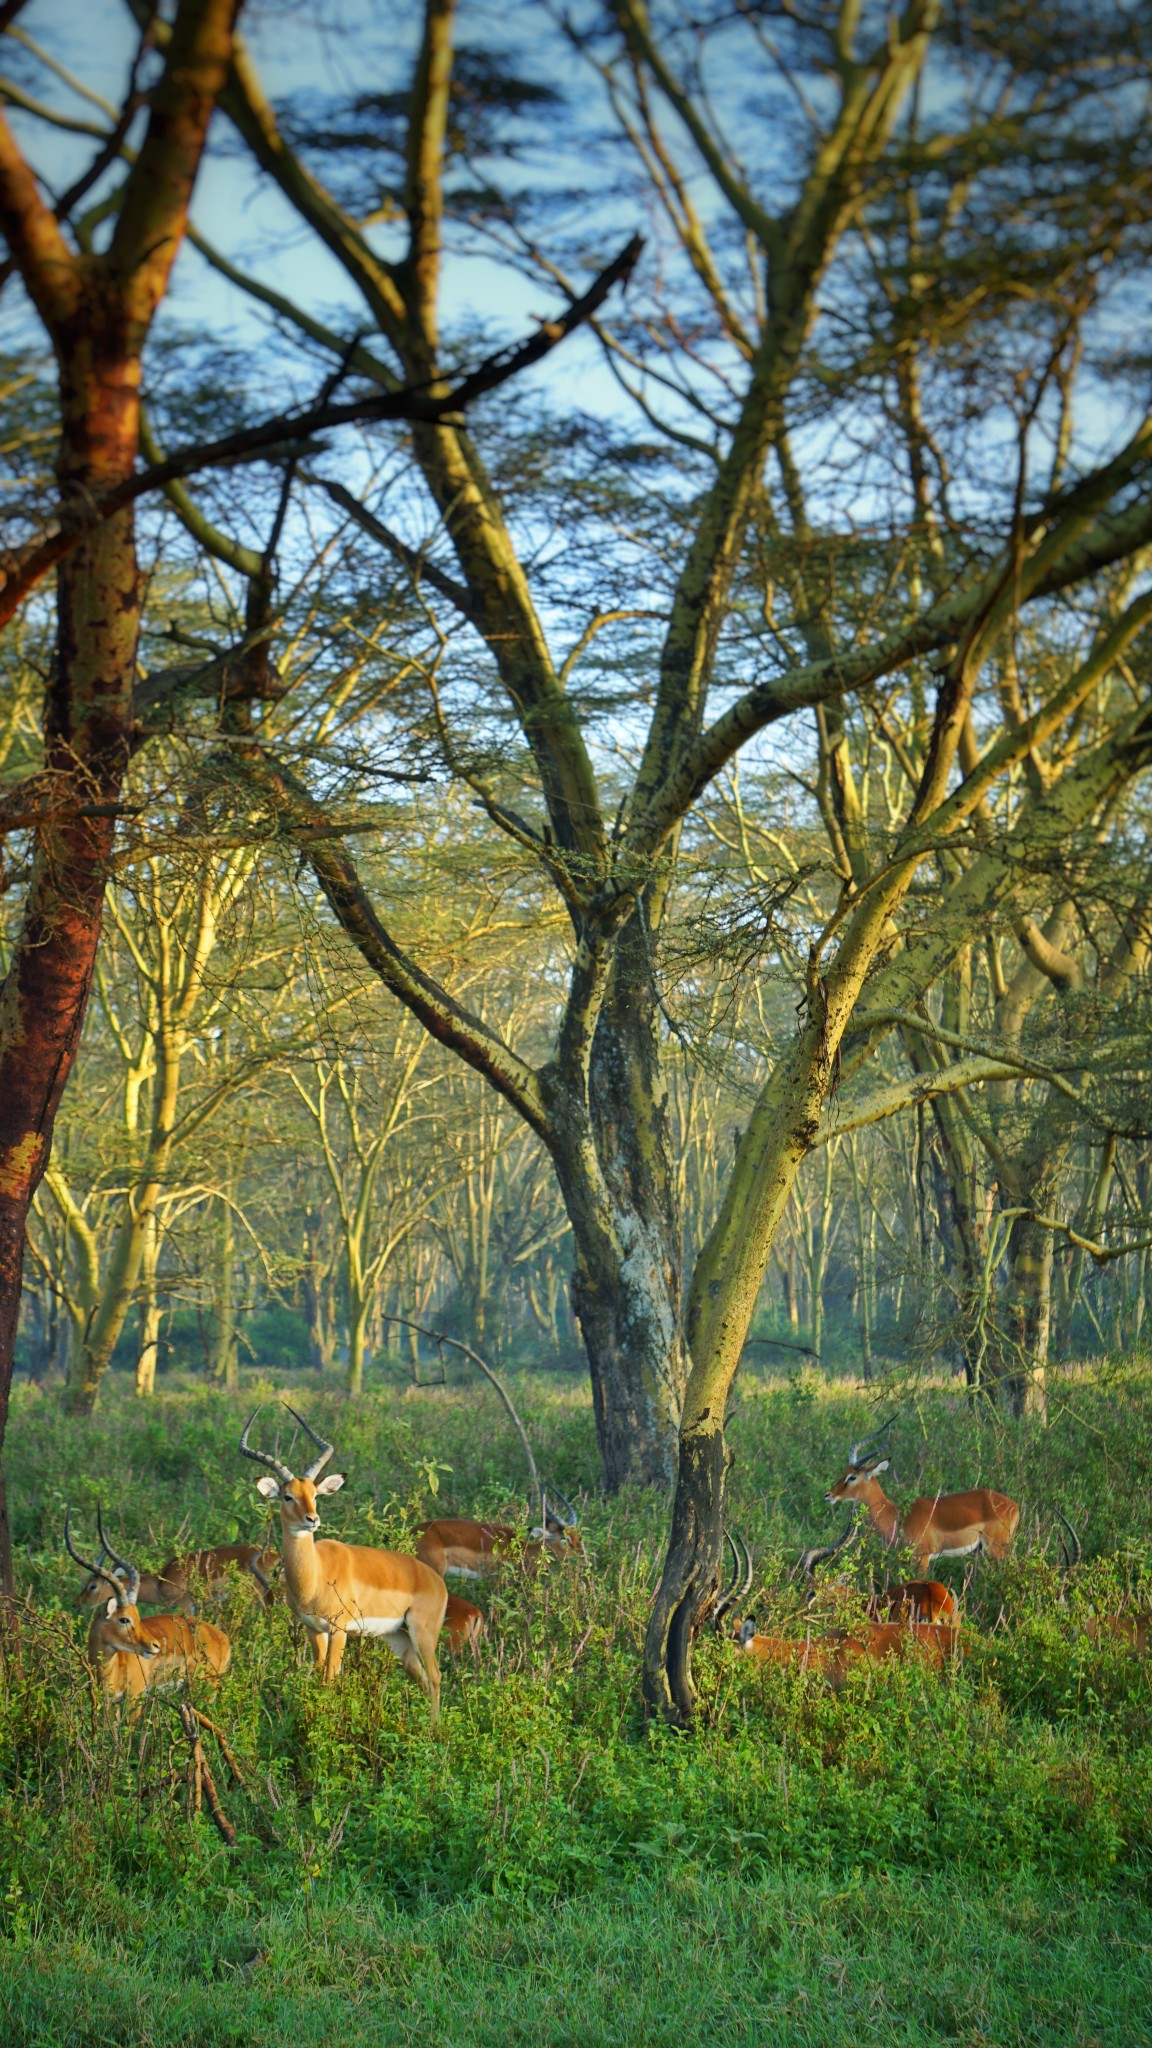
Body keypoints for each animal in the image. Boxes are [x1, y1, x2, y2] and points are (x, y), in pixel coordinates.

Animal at [66, 1507, 231, 1712]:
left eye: (92, 1586)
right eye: (125, 1618)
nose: (155, 1646)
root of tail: (223, 1638)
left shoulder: (134, 1700)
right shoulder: (111, 1704)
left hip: (206, 1689)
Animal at [236, 1400, 444, 1720]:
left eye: (314, 1494)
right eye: (287, 1496)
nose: (312, 1520)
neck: (314, 1576)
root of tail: (437, 1582)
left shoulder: (339, 1629)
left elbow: (331, 1680)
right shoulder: (314, 1629)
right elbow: (319, 1679)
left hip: (423, 1633)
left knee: (435, 1678)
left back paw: (436, 1729)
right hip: (399, 1638)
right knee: (422, 1678)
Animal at [824, 1417, 1012, 1572]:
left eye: (852, 1477)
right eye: (844, 1471)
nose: (828, 1495)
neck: (897, 1516)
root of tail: (1013, 1505)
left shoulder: (921, 1558)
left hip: (996, 1550)